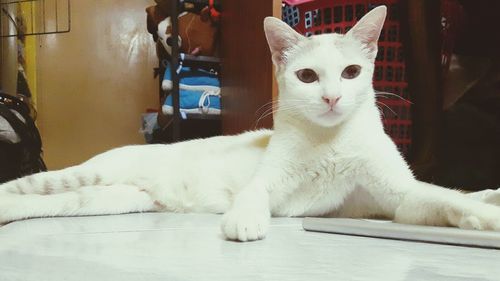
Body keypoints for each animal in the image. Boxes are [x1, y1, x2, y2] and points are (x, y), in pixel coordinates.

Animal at [0, 6, 500, 241]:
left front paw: (480, 215)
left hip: (106, 201)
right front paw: (243, 220)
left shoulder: (396, 197)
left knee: (40, 203)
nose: (332, 97)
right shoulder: (267, 182)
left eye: (351, 73)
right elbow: (253, 194)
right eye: (307, 76)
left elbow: (438, 198)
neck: (330, 141)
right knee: (25, 187)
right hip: (84, 177)